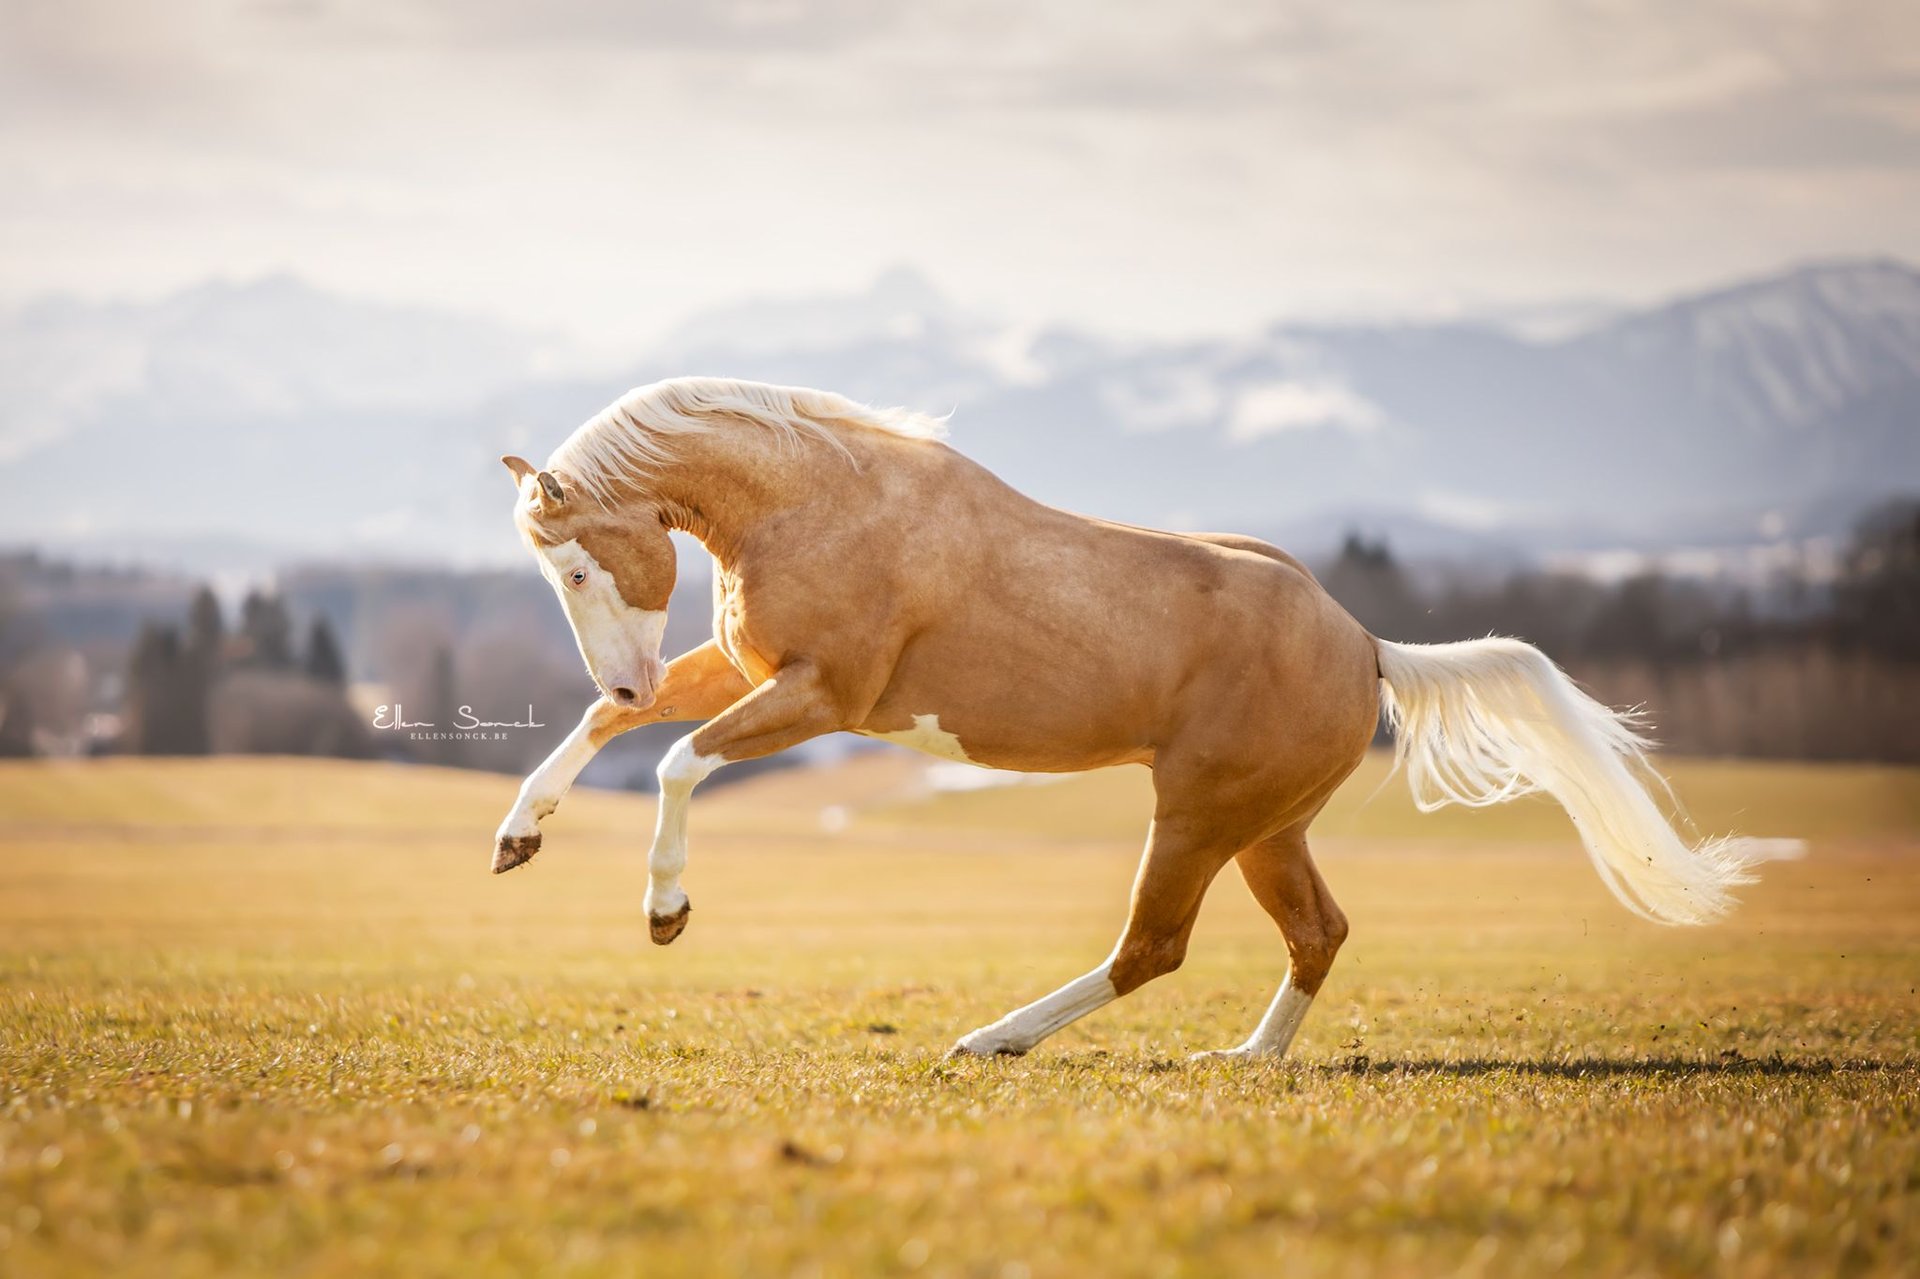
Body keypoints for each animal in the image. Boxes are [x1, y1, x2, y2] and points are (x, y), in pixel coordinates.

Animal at [492, 376, 1776, 1060]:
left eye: (577, 567)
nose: (627, 676)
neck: (824, 500)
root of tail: (1367, 647)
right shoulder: (747, 666)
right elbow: (607, 736)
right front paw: (517, 838)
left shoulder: (822, 694)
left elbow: (675, 760)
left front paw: (665, 911)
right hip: (1266, 829)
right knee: (1318, 931)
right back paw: (1248, 1058)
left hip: (1198, 814)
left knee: (1153, 945)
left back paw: (993, 1039)